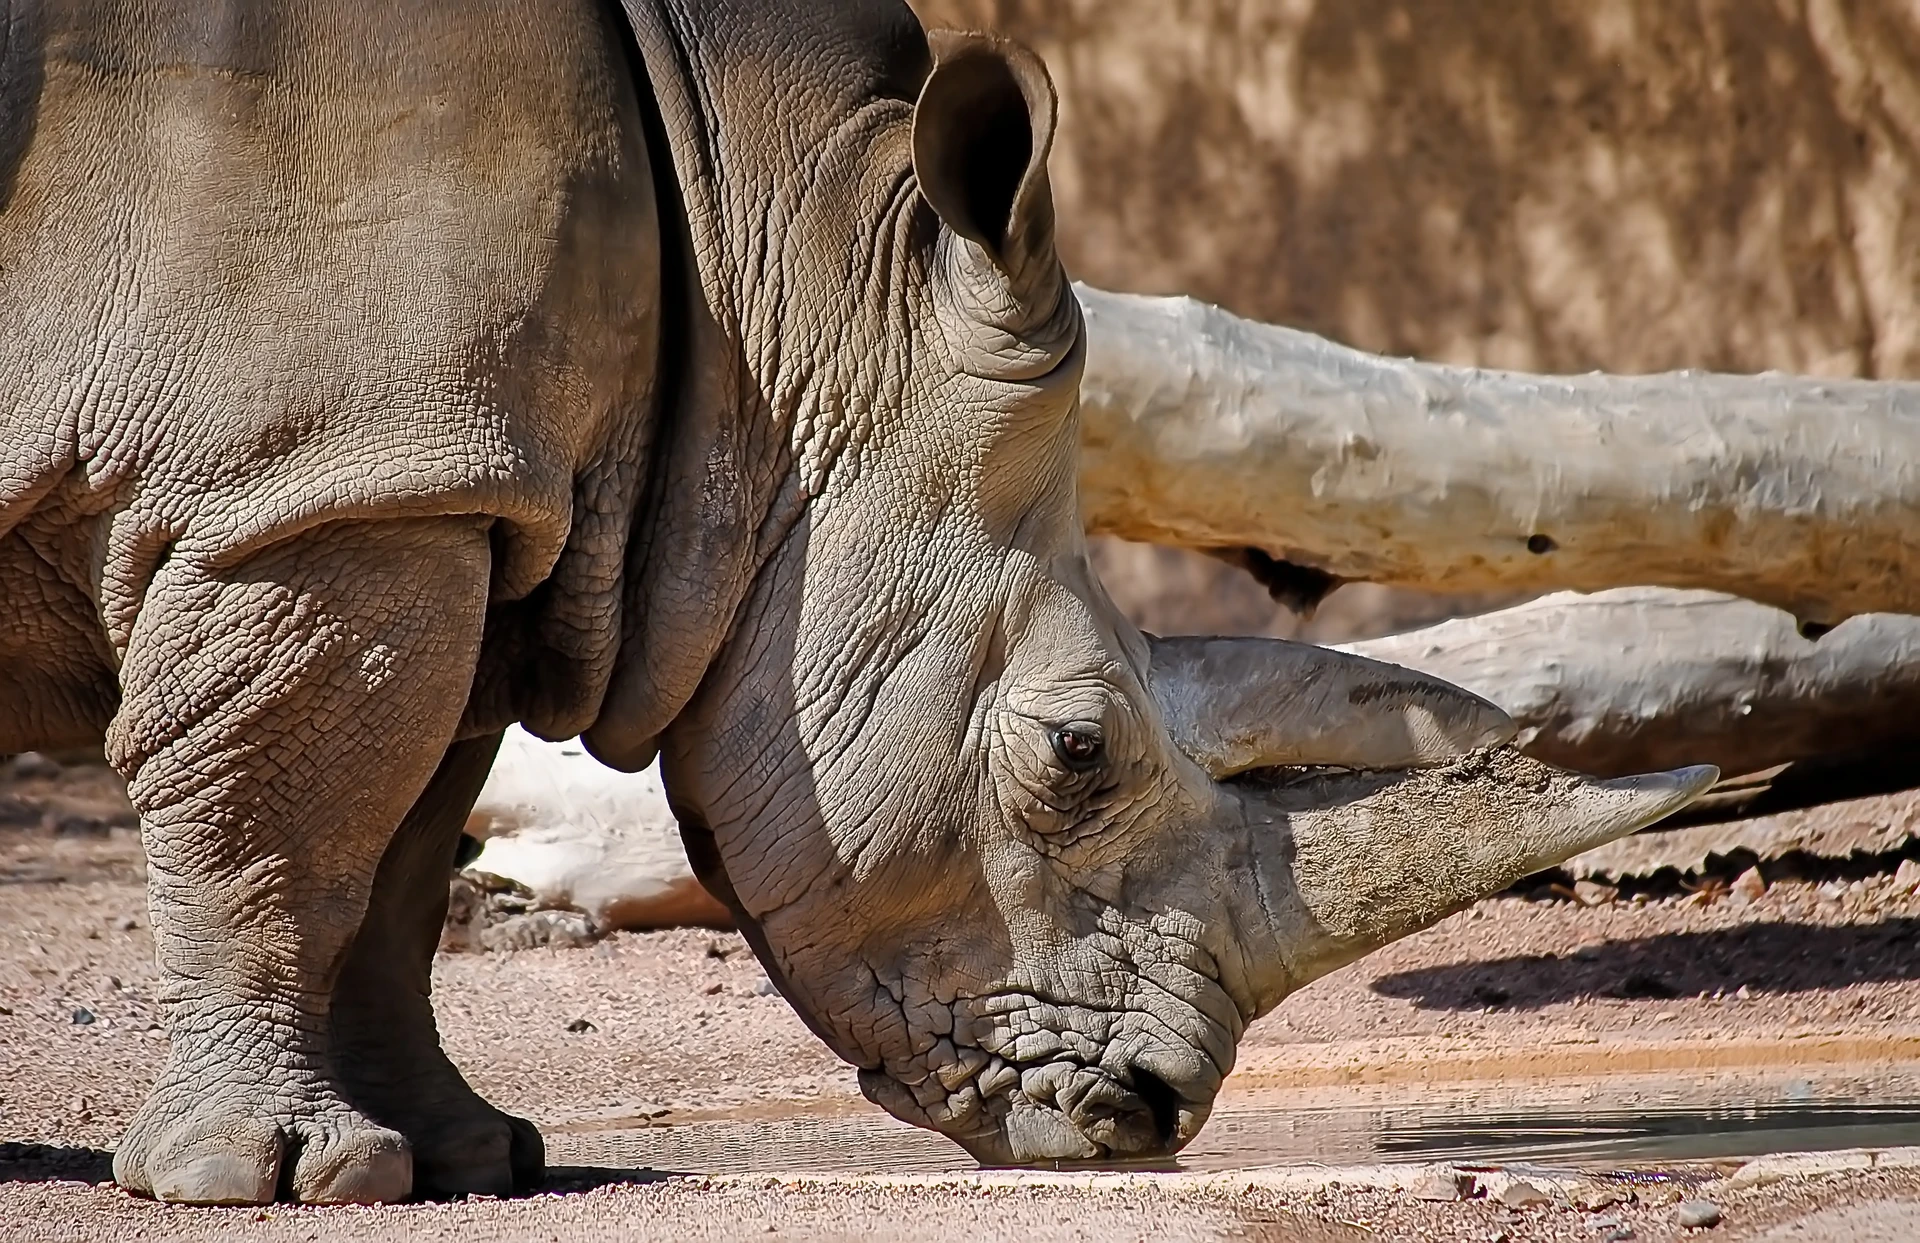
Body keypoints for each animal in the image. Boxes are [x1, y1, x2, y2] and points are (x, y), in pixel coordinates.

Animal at [0, 0, 1712, 1205]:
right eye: (1079, 751)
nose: (1150, 1115)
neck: (777, 273)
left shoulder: (445, 483)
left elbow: (405, 841)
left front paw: (470, 1155)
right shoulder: (321, 485)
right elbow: (283, 821)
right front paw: (279, 1178)